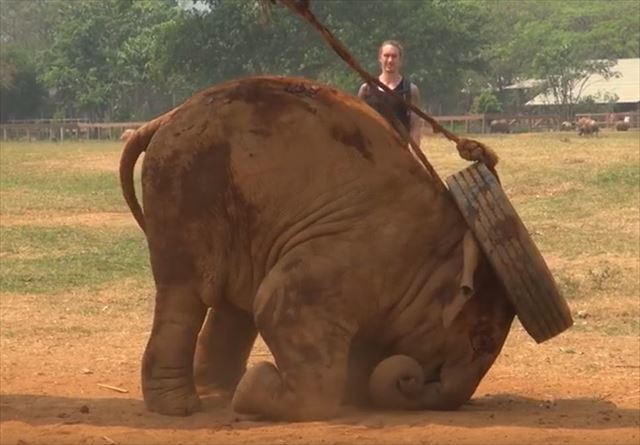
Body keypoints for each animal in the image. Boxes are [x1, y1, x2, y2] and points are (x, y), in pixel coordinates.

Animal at [117, 75, 512, 420]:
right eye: (481, 341)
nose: (411, 379)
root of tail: (163, 118)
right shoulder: (353, 254)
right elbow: (276, 306)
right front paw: (255, 390)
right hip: (186, 185)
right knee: (190, 292)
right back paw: (183, 407)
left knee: (232, 302)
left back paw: (219, 392)